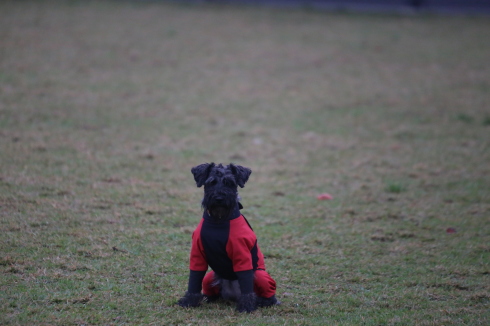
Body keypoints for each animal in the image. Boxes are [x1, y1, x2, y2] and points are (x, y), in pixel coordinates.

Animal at [179, 163, 280, 314]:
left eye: (230, 183)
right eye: (211, 182)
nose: (219, 198)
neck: (219, 221)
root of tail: (232, 295)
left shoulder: (242, 254)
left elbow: (246, 281)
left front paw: (246, 306)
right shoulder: (197, 254)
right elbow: (194, 279)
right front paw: (189, 301)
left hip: (261, 276)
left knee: (269, 296)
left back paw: (262, 301)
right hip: (210, 277)